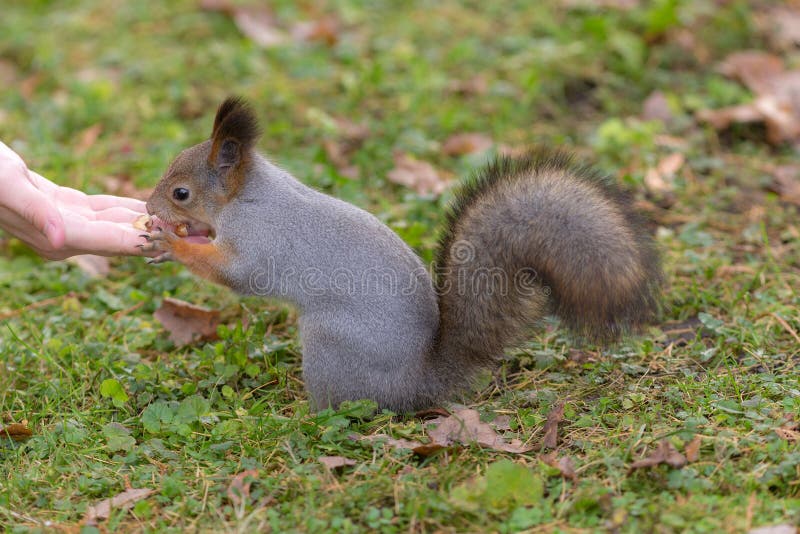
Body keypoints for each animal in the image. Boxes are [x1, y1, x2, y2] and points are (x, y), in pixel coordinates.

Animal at [141, 97, 662, 412]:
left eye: (181, 192)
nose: (148, 207)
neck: (250, 195)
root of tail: (417, 383)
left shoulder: (261, 240)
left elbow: (236, 273)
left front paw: (174, 243)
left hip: (331, 344)